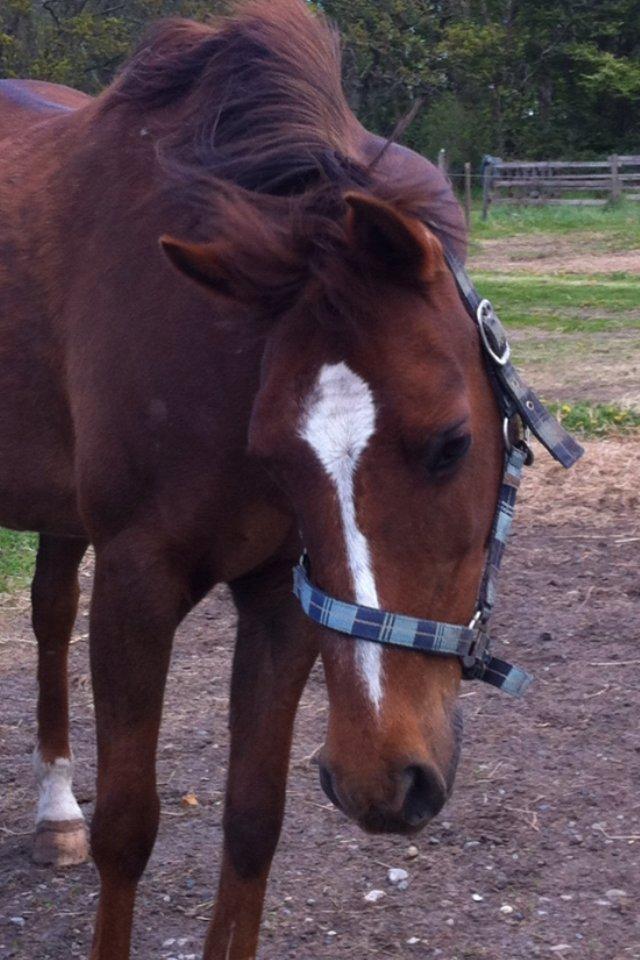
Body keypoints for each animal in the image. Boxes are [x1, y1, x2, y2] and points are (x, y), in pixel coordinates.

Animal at [0, 2, 515, 957]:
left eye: (452, 444)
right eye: (273, 452)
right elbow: (127, 828)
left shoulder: (282, 595)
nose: (381, 781)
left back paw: (54, 814)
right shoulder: (137, 582)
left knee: (48, 610)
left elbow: (251, 823)